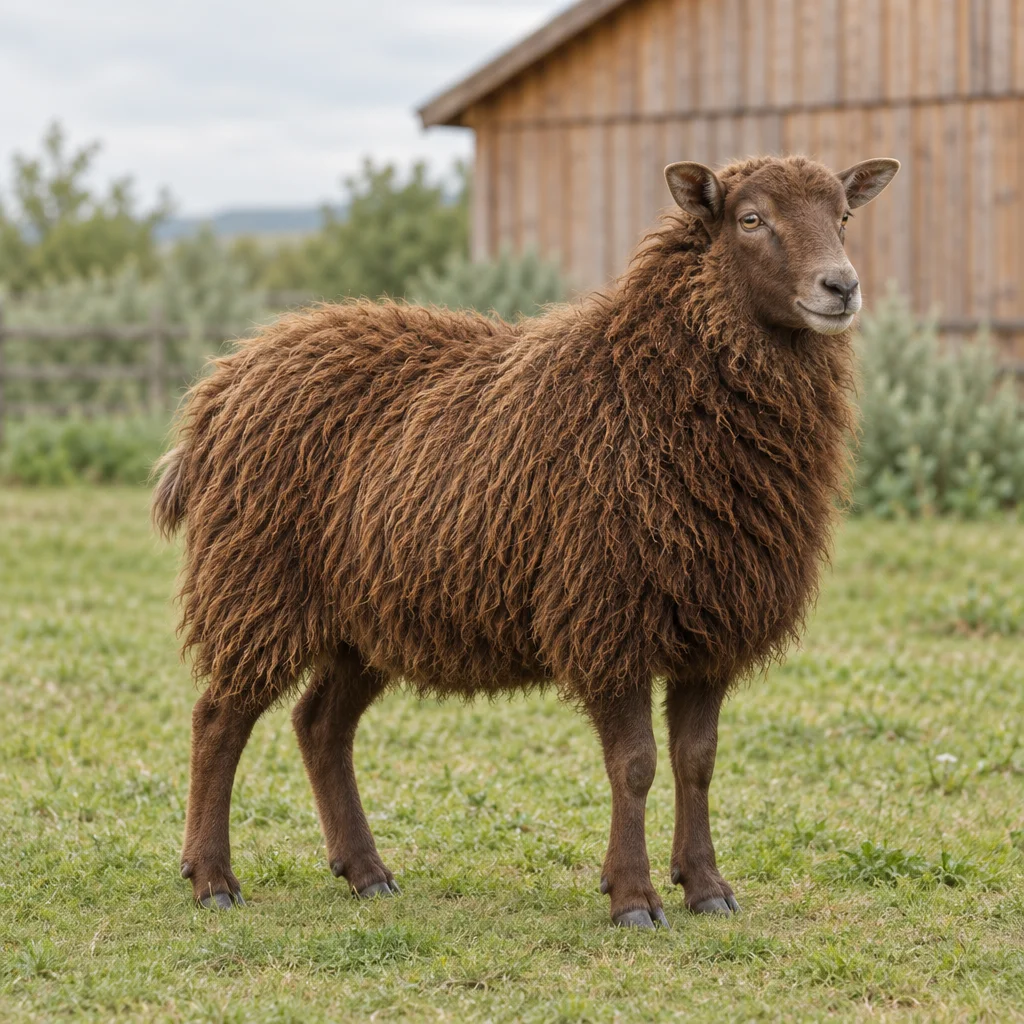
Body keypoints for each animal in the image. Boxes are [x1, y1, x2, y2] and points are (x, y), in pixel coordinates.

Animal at [154, 154, 899, 928]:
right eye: (750, 218)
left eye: (844, 216)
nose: (842, 287)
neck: (652, 384)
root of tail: (226, 380)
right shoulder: (607, 616)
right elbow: (635, 764)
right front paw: (633, 898)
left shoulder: (710, 623)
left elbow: (697, 760)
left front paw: (706, 887)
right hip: (255, 582)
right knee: (219, 720)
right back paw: (213, 879)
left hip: (366, 613)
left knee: (320, 726)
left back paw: (365, 872)